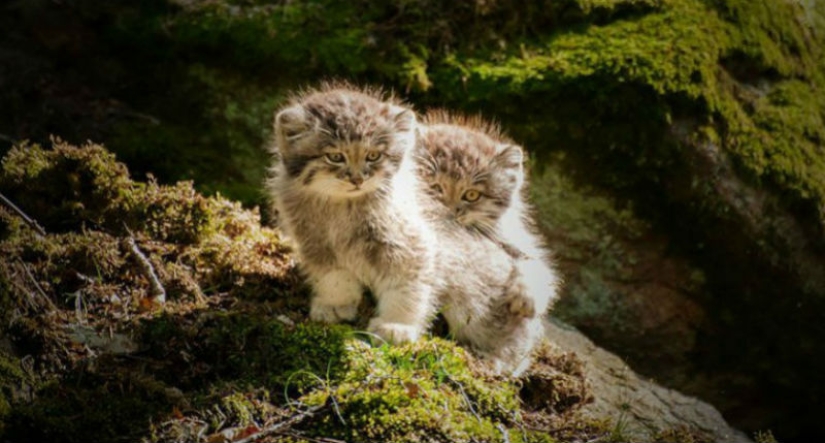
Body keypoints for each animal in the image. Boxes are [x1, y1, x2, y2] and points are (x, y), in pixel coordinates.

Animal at [268, 84, 438, 346]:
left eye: (373, 156)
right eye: (336, 157)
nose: (358, 179)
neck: (343, 210)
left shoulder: (406, 241)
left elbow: (406, 285)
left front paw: (396, 325)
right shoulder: (317, 242)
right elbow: (333, 277)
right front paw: (335, 304)